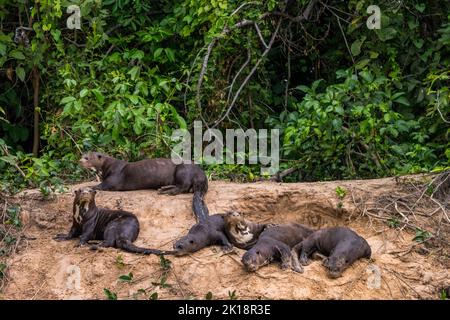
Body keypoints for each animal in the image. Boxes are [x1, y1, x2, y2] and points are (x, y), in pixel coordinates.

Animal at [79, 152, 209, 222]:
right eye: (82, 155)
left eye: (87, 158)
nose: (80, 160)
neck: (108, 166)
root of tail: (201, 175)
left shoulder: (113, 179)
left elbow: (100, 186)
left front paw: (88, 187)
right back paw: (164, 188)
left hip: (182, 170)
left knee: (183, 187)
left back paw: (165, 191)